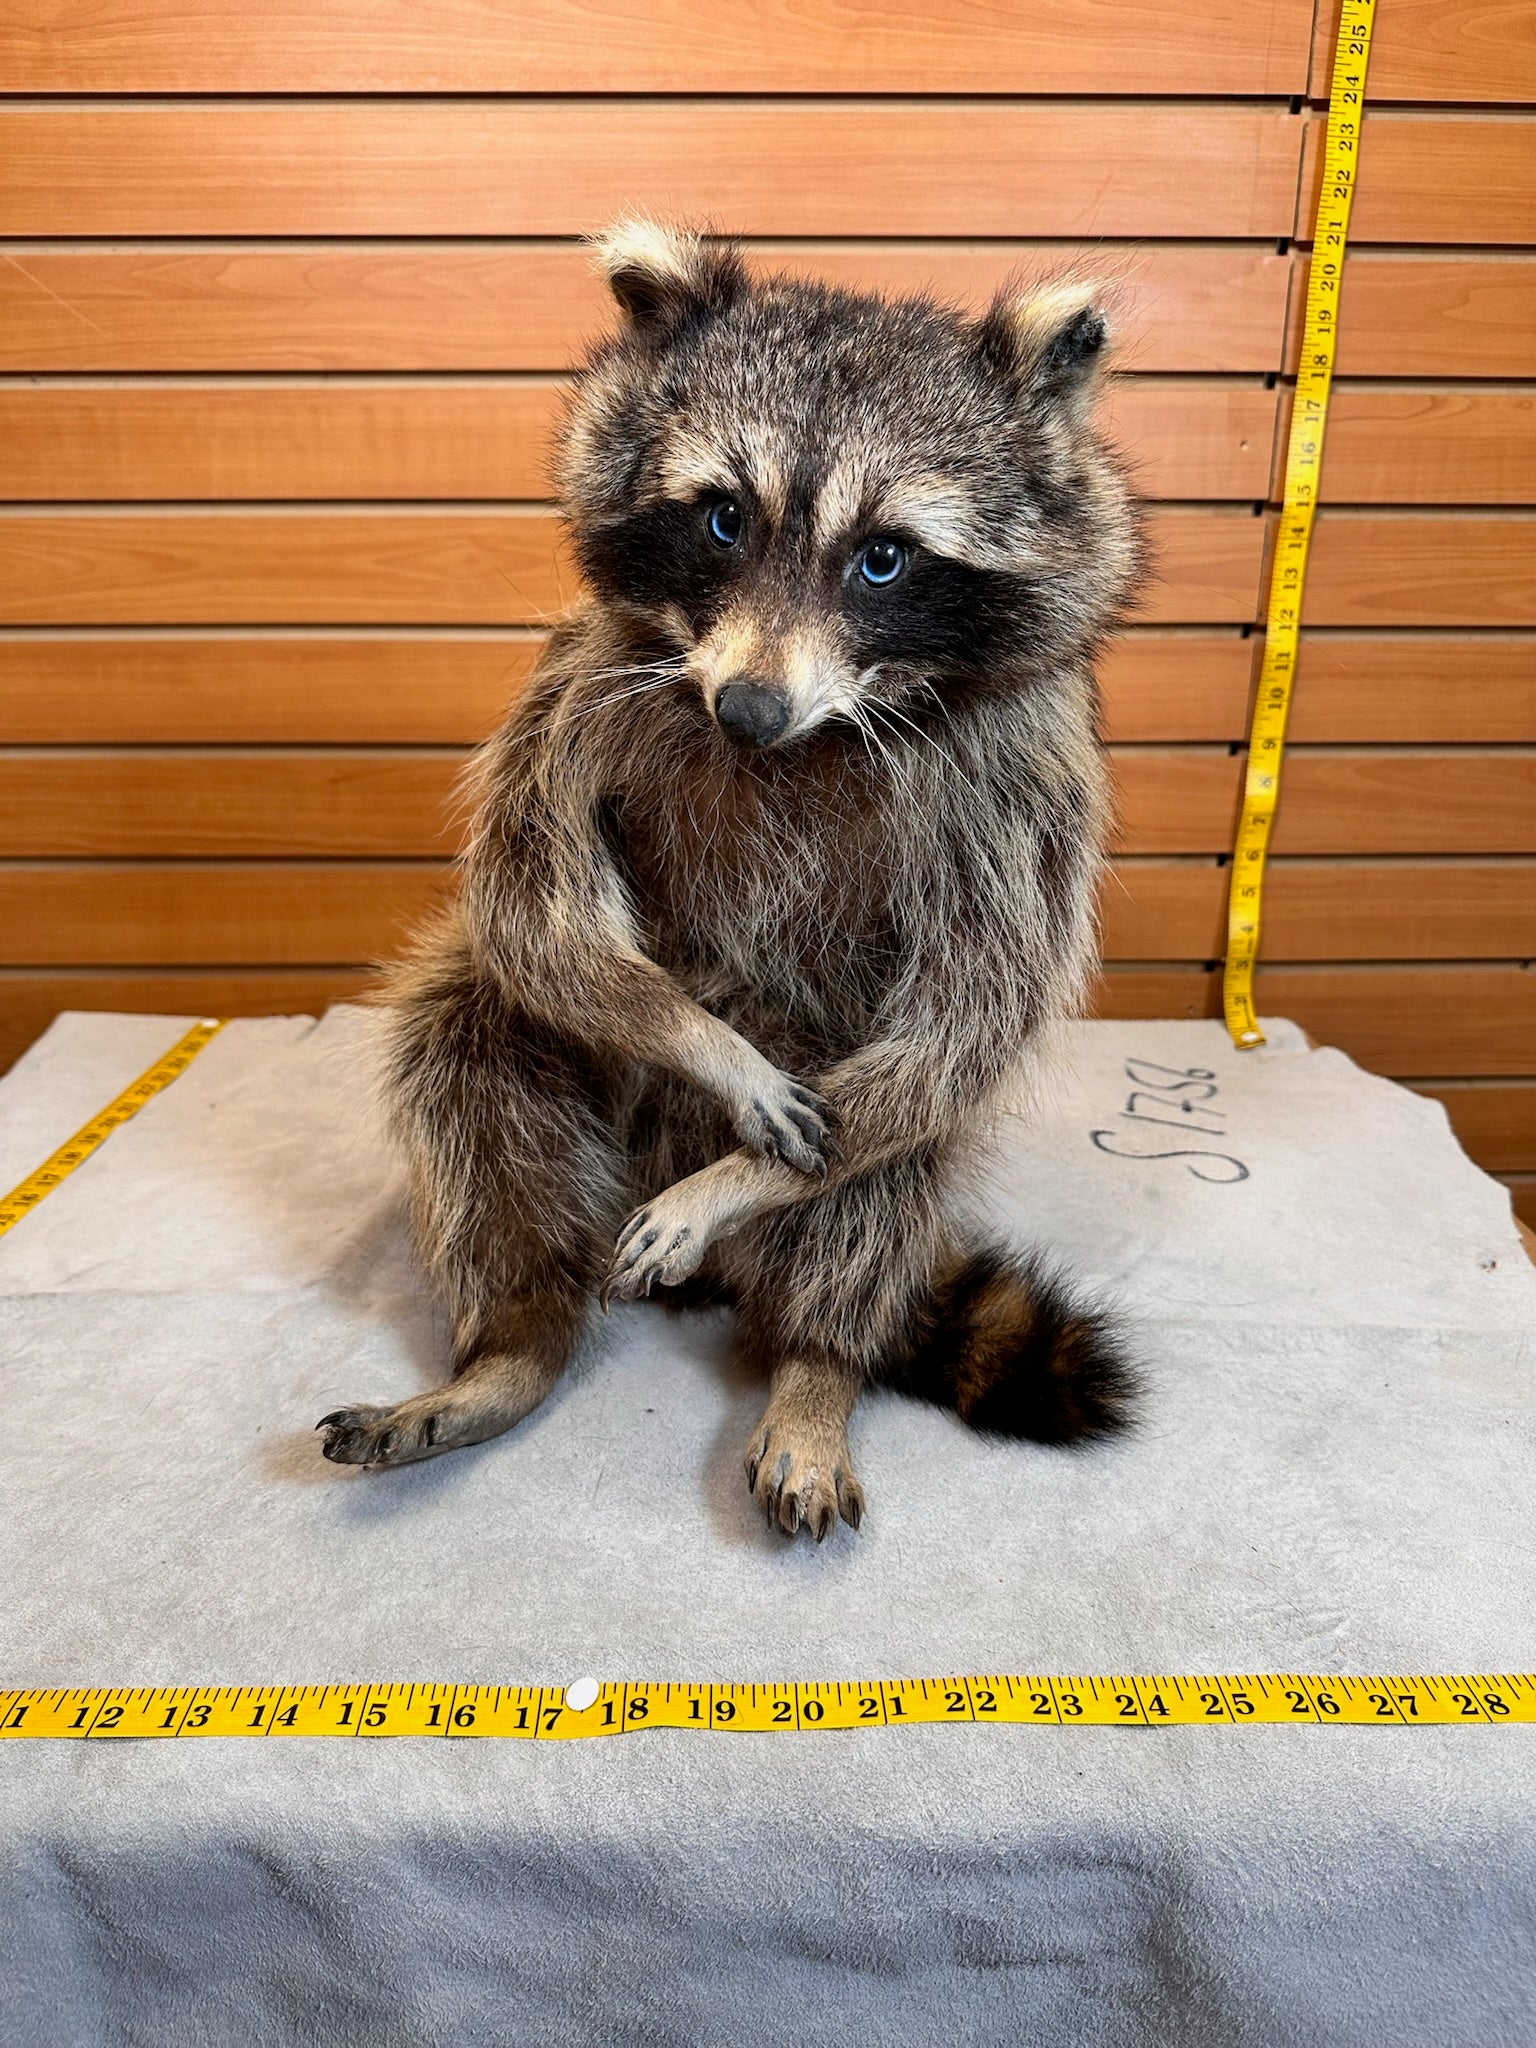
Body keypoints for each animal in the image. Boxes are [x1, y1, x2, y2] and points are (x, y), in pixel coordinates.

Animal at [317, 220, 1143, 1540]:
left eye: (884, 559)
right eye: (721, 521)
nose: (749, 708)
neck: (807, 736)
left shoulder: (1025, 764)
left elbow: (976, 1010)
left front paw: (738, 1182)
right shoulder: (583, 679)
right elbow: (530, 908)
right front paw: (700, 1036)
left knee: (894, 1153)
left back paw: (815, 1361)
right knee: (470, 1042)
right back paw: (515, 1336)